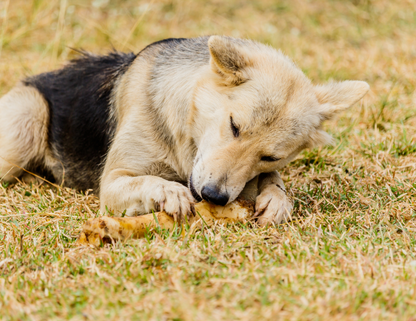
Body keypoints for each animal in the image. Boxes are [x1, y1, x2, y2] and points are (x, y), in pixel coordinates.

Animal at [0, 36, 368, 224]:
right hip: (27, 123)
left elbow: (274, 182)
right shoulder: (113, 182)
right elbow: (149, 181)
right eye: (234, 126)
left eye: (269, 157)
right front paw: (168, 191)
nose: (214, 197)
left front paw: (277, 199)